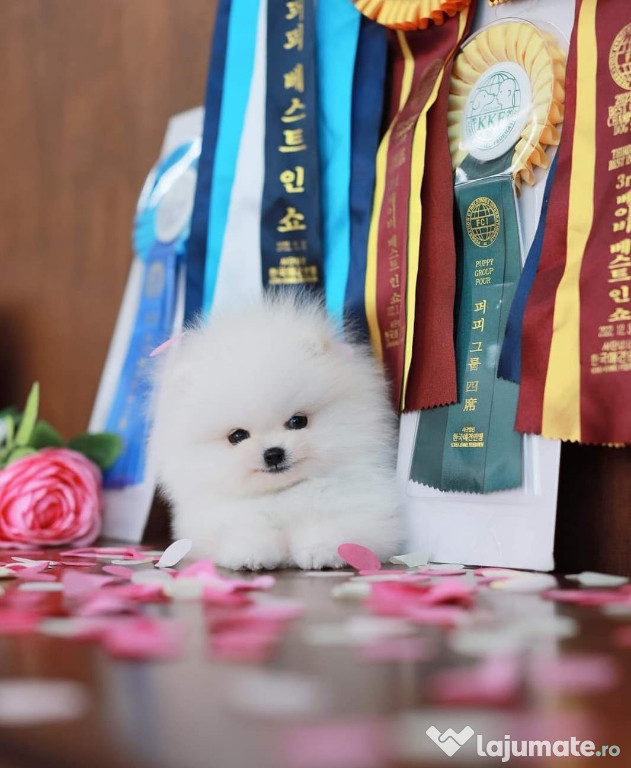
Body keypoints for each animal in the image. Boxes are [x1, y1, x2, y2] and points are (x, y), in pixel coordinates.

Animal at [149, 294, 400, 568]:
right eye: (237, 436)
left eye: (298, 421)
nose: (273, 454)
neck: (282, 494)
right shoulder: (218, 519)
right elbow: (244, 530)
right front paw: (250, 554)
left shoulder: (363, 507)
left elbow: (338, 526)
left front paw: (321, 550)